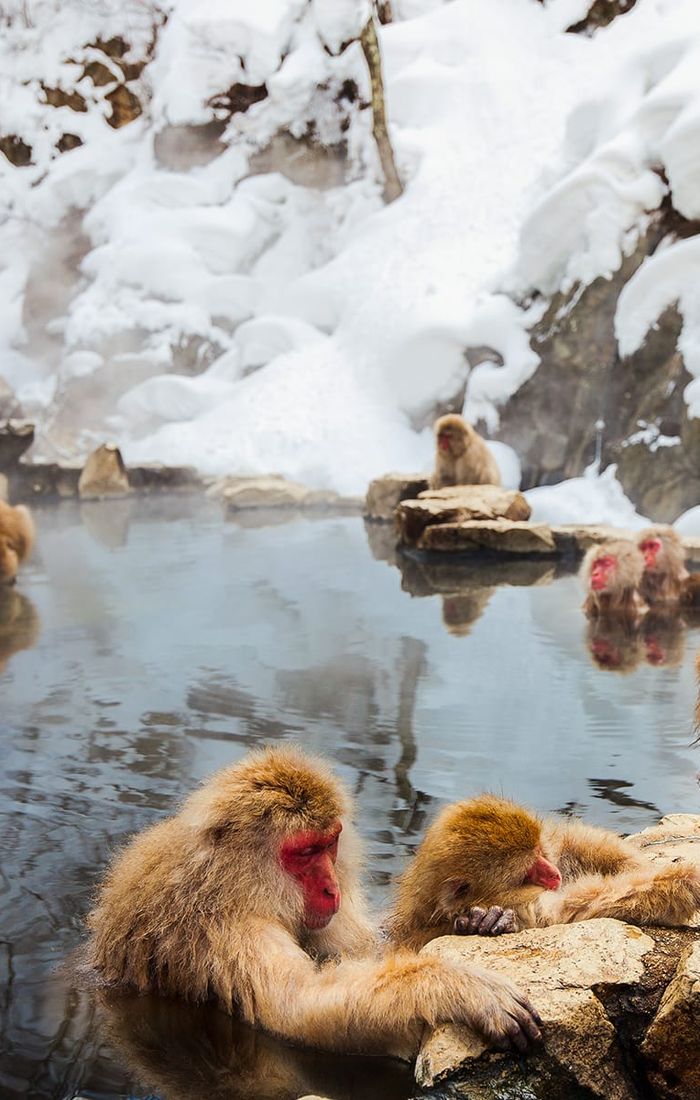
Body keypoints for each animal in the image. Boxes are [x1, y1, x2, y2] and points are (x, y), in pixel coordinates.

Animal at [86, 746, 542, 1059]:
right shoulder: (228, 928)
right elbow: (299, 1009)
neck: (229, 881)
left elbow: (366, 949)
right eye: (304, 853)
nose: (330, 888)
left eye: (329, 843)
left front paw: (480, 921)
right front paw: (458, 985)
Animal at [387, 795, 700, 950]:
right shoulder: (523, 904)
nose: (554, 874)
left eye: (539, 851)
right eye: (528, 872)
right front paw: (688, 880)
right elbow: (576, 908)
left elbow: (573, 842)